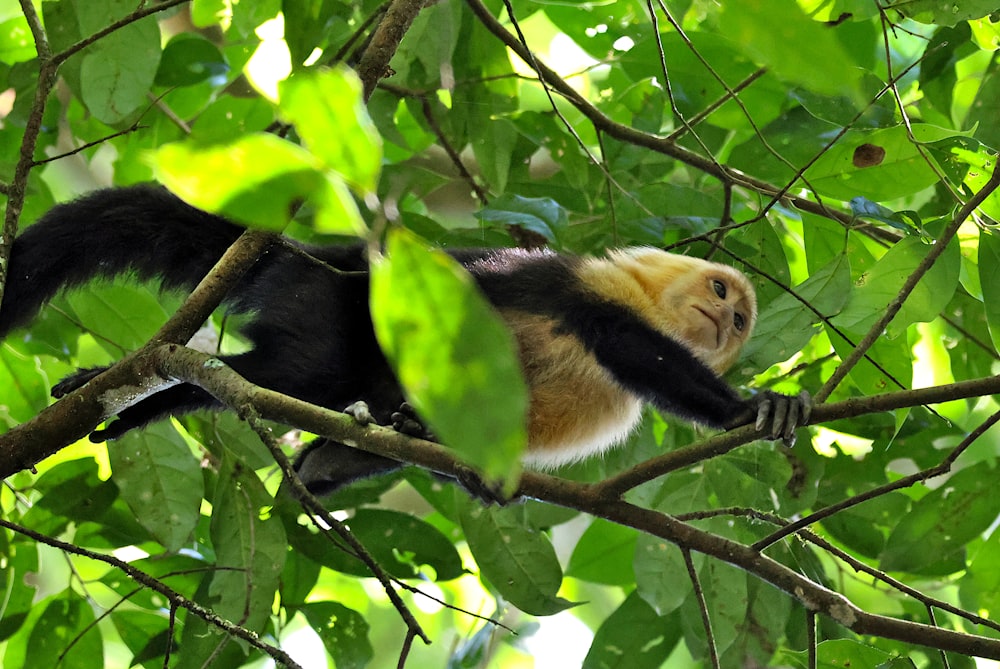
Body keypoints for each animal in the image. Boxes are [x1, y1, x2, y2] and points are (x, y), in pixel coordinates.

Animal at [0, 185, 812, 494]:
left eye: (742, 320)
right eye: (722, 295)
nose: (728, 322)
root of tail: (310, 255)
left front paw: (473, 476)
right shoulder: (584, 285)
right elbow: (624, 343)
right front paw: (751, 410)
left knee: (306, 407)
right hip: (333, 303)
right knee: (288, 375)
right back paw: (136, 385)